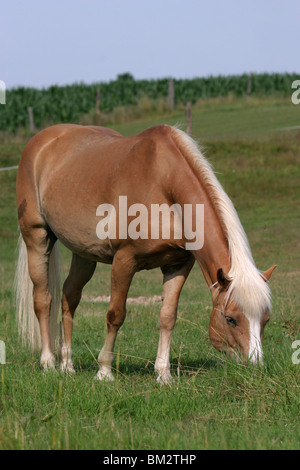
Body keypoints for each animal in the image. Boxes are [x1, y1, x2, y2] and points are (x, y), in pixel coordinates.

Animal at [14, 123, 276, 384]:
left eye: (266, 319)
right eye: (230, 318)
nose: (255, 367)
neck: (163, 183)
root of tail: (42, 140)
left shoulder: (178, 265)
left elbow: (168, 317)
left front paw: (163, 374)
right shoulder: (124, 260)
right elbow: (115, 314)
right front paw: (104, 371)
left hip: (84, 254)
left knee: (69, 297)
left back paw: (67, 365)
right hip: (37, 239)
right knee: (43, 300)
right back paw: (48, 363)